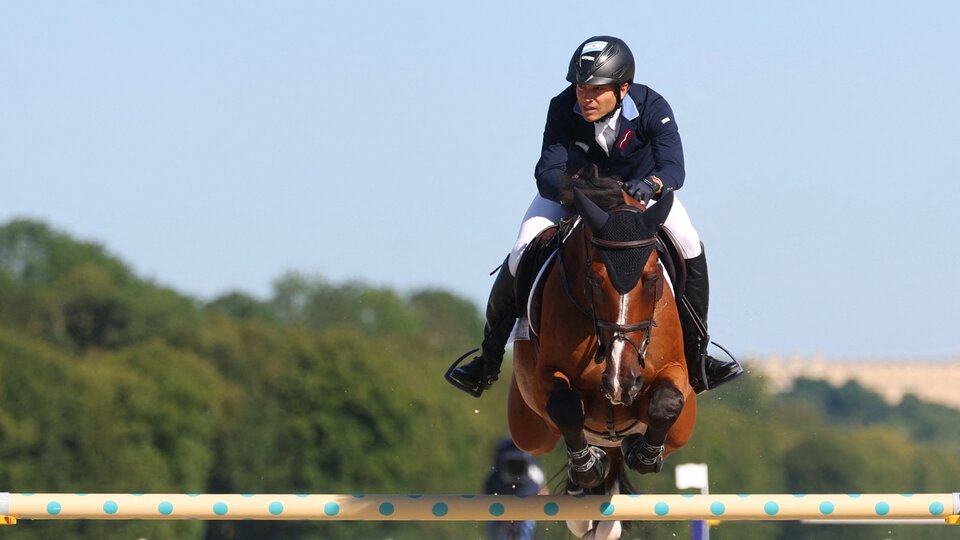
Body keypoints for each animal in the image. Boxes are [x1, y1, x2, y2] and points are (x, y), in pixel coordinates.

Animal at [510, 175, 696, 536]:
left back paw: (629, 449)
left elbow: (667, 401)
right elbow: (566, 406)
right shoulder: (544, 377)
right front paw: (585, 469)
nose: (621, 382)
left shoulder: (676, 369)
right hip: (529, 431)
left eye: (652, 279)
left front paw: (644, 455)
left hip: (683, 429)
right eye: (594, 280)